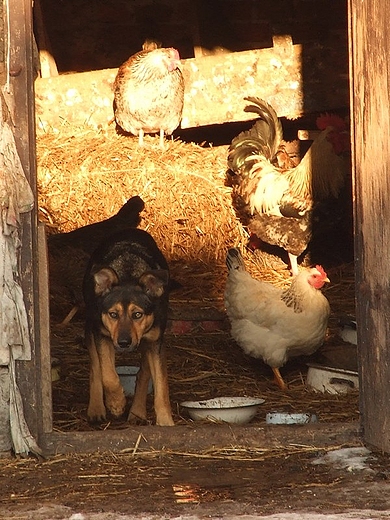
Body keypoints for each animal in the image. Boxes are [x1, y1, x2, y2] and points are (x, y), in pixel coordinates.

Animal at [83, 228, 174, 426]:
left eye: (137, 314)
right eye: (113, 314)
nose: (124, 342)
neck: (128, 273)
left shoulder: (156, 341)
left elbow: (161, 384)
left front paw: (165, 421)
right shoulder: (101, 334)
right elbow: (107, 374)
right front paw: (116, 404)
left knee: (143, 374)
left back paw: (137, 413)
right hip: (90, 327)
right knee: (95, 368)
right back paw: (96, 409)